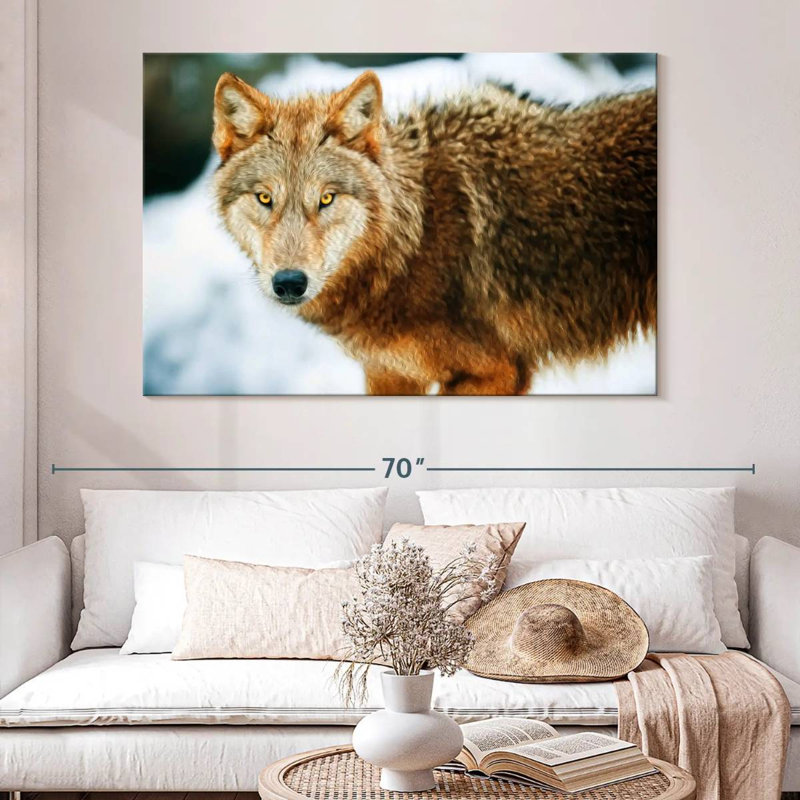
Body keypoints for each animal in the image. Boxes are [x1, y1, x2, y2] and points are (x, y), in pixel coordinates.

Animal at [212, 69, 656, 394]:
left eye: (326, 198)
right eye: (265, 198)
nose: (289, 282)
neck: (415, 237)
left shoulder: (498, 372)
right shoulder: (388, 374)